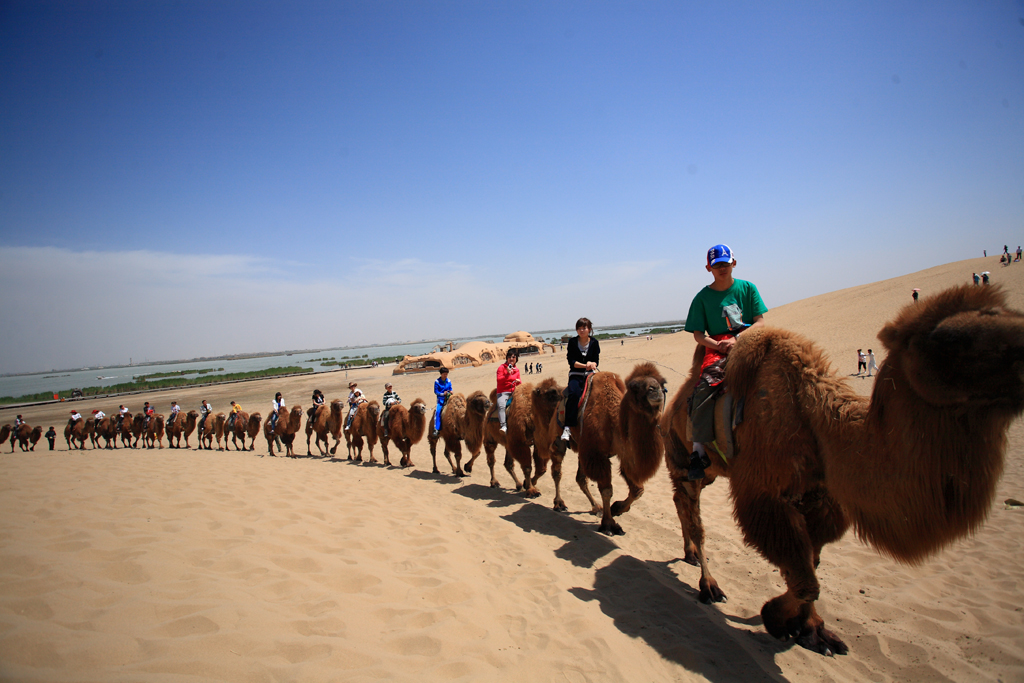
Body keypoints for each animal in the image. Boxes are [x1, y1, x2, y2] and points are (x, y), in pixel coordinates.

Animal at [565, 366, 667, 536]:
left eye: (662, 382)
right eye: (634, 387)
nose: (655, 390)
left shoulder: (623, 454)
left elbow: (638, 489)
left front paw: (617, 508)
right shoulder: (597, 455)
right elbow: (607, 490)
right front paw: (609, 524)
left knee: (580, 478)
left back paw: (596, 507)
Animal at [659, 284, 1019, 655]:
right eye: (949, 338)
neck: (812, 415)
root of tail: (669, 409)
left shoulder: (820, 495)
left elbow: (813, 560)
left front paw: (811, 630)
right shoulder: (765, 493)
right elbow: (806, 577)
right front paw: (778, 619)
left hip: (708, 471)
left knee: (683, 507)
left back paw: (689, 556)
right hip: (683, 460)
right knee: (695, 518)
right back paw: (709, 586)